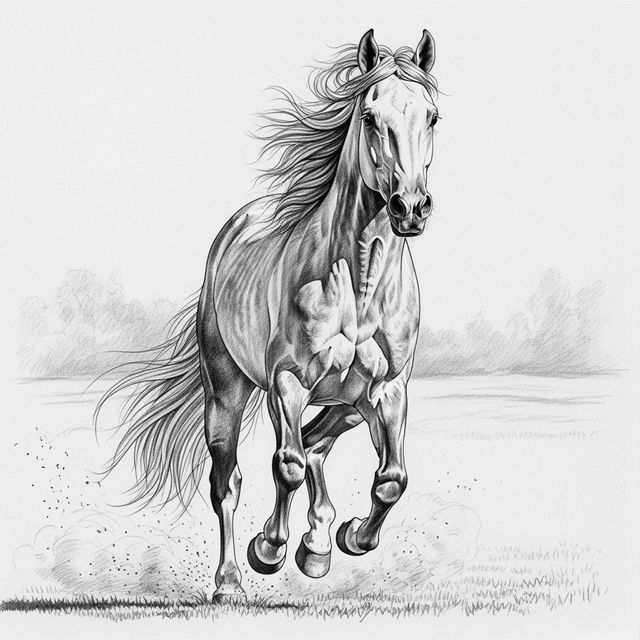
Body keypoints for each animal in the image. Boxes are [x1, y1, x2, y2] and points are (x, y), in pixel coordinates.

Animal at [97, 28, 439, 603]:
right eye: (371, 116)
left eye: (431, 116)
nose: (409, 208)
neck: (359, 282)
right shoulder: (288, 382)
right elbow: (288, 466)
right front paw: (270, 549)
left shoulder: (389, 389)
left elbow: (392, 479)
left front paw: (349, 538)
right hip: (226, 392)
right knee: (230, 483)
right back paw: (231, 581)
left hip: (350, 402)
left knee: (320, 441)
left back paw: (318, 545)